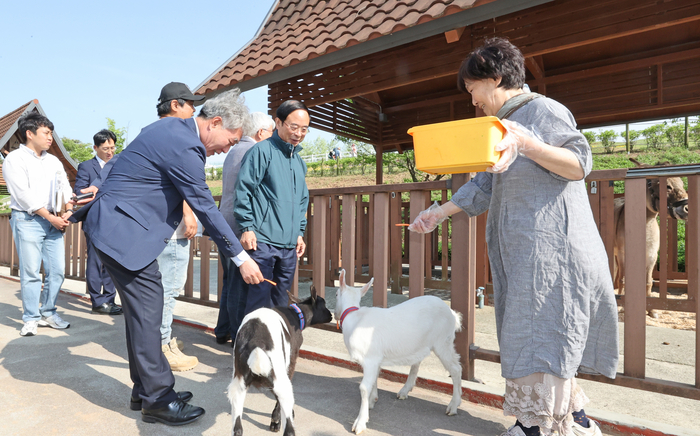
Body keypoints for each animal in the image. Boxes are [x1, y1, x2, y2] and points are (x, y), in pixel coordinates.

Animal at [227, 286, 330, 436]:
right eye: (323, 304)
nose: (331, 315)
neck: (296, 315)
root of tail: (255, 342)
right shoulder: (290, 362)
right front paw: (277, 420)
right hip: (279, 375)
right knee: (289, 428)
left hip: (239, 383)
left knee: (237, 427)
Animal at [334, 270, 464, 432]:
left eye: (336, 294)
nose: (334, 314)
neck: (354, 318)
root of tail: (453, 314)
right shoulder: (376, 359)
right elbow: (374, 380)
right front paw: (372, 401)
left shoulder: (370, 358)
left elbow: (364, 387)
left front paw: (360, 423)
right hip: (423, 343)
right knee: (418, 362)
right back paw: (405, 391)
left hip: (443, 342)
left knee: (456, 369)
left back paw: (453, 406)